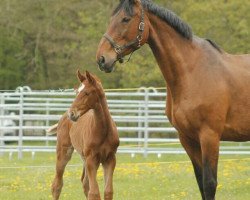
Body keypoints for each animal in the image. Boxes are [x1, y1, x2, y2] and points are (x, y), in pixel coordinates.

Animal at [49, 70, 119, 200]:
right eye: (77, 92)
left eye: (86, 93)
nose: (71, 114)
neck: (103, 130)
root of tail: (63, 118)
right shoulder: (91, 159)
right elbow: (94, 192)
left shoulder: (110, 158)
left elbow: (108, 191)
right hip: (64, 152)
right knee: (57, 185)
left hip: (84, 158)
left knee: (85, 183)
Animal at [95, 0, 250, 199]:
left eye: (125, 19)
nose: (102, 59)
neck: (193, 71)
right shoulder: (187, 138)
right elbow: (200, 182)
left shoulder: (210, 136)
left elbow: (209, 183)